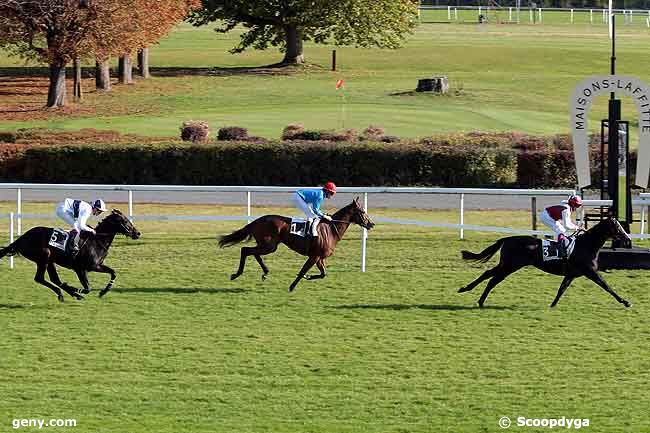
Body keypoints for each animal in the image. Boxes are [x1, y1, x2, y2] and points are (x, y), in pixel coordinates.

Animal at [0, 208, 141, 300]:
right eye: (125, 221)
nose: (137, 233)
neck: (97, 240)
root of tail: (22, 238)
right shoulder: (80, 269)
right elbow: (88, 288)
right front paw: (77, 289)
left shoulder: (96, 266)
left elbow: (113, 272)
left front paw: (103, 292)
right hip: (43, 256)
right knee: (39, 278)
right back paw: (71, 292)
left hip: (49, 260)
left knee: (54, 279)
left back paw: (64, 293)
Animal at [216, 197, 372, 292]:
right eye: (362, 211)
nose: (371, 224)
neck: (331, 230)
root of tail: (257, 220)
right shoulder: (314, 256)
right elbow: (303, 271)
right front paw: (292, 286)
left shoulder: (320, 258)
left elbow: (323, 274)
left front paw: (308, 277)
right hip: (269, 245)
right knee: (246, 250)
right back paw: (237, 274)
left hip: (268, 245)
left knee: (252, 252)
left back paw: (265, 272)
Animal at [456, 216, 628, 308]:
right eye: (618, 226)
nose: (627, 238)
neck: (586, 245)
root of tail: (507, 239)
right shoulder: (590, 271)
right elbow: (606, 286)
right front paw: (625, 302)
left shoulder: (572, 274)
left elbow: (561, 289)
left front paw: (552, 305)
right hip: (511, 265)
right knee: (493, 279)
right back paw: (477, 298)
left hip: (507, 264)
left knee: (488, 274)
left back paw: (470, 293)